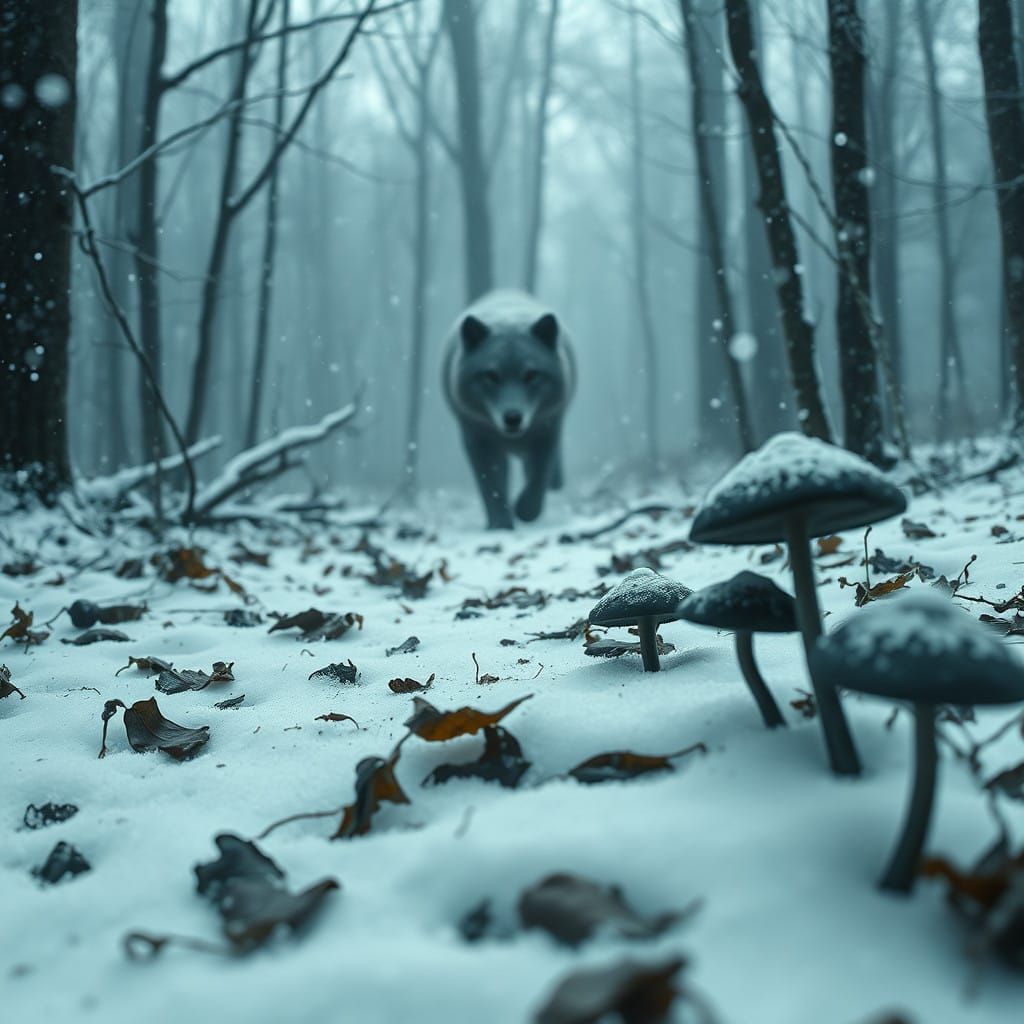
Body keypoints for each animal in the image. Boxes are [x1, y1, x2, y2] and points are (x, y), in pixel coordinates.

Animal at [442, 290, 576, 529]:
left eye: (531, 375)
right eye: (491, 375)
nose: (513, 417)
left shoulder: (547, 431)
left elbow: (537, 482)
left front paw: (523, 511)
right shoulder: (478, 438)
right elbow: (491, 487)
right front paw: (501, 525)